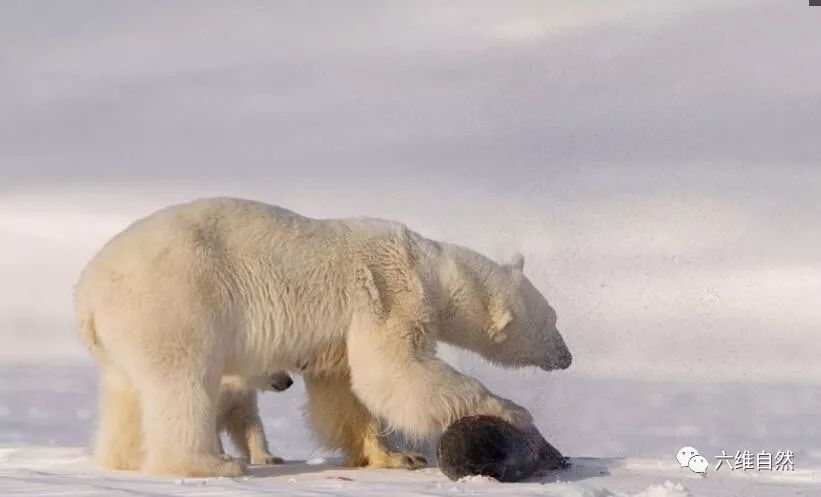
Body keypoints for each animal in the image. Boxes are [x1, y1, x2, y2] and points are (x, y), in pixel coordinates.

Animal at [74, 197, 572, 477]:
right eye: (553, 320)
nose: (566, 357)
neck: (430, 268)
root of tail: (87, 295)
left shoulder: (342, 332)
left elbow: (344, 391)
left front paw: (395, 457)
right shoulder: (389, 292)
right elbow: (395, 371)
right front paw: (509, 409)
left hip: (125, 334)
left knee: (125, 392)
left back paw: (121, 460)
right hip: (175, 302)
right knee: (182, 384)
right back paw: (212, 464)